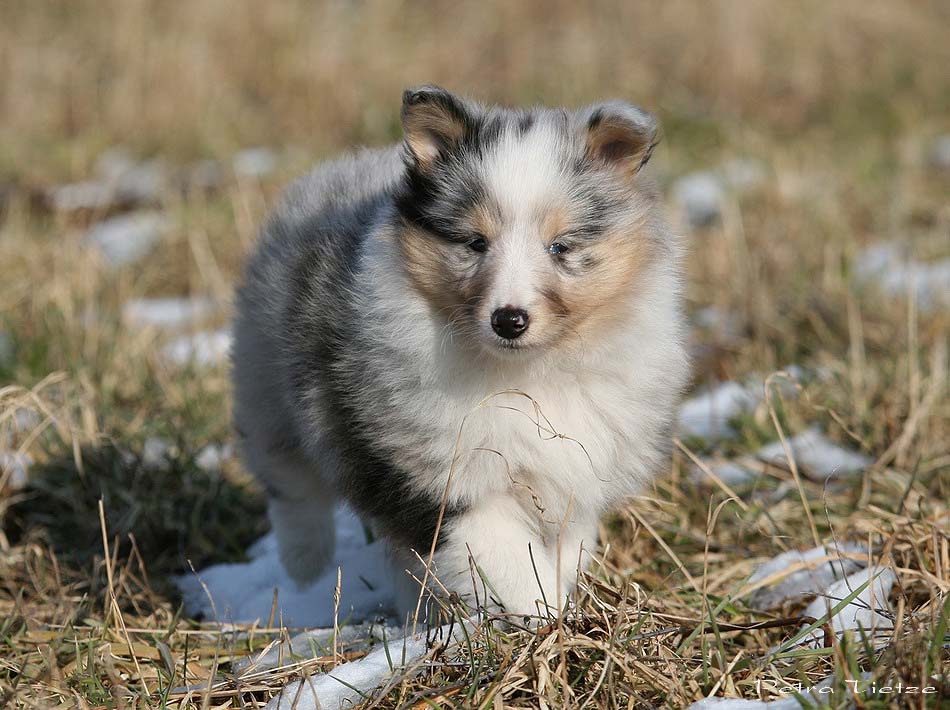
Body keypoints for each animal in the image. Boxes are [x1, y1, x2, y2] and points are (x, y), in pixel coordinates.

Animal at [232, 86, 692, 620]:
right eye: (475, 242)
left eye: (559, 247)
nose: (509, 320)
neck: (525, 373)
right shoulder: (440, 475)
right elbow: (507, 561)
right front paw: (545, 620)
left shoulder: (573, 473)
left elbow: (565, 550)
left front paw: (564, 610)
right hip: (266, 379)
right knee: (289, 479)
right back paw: (307, 564)